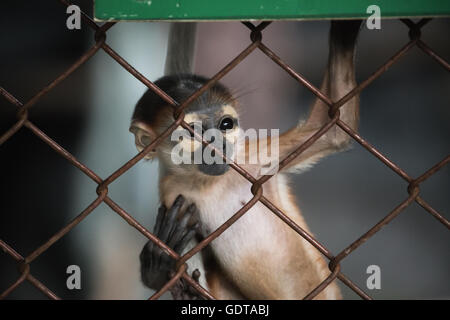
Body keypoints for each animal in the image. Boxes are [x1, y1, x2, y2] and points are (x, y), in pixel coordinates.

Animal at [130, 20, 362, 300]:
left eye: (225, 125)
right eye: (192, 132)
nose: (217, 145)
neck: (208, 184)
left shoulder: (253, 158)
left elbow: (334, 130)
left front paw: (346, 25)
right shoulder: (172, 192)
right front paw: (158, 264)